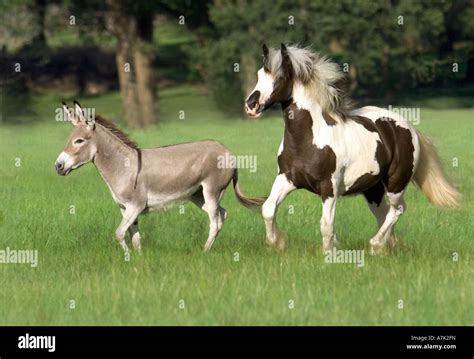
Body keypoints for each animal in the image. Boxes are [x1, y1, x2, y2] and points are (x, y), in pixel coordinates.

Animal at [56, 101, 264, 253]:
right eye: (69, 140)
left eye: (79, 141)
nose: (58, 166)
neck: (122, 166)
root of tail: (226, 150)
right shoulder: (125, 208)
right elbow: (134, 236)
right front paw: (138, 260)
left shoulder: (136, 205)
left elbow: (119, 233)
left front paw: (127, 257)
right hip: (198, 194)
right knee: (222, 214)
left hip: (212, 190)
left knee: (215, 222)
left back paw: (204, 252)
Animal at [246, 43, 462, 255]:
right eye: (259, 74)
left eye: (280, 77)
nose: (251, 105)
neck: (308, 141)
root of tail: (411, 129)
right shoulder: (286, 178)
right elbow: (268, 208)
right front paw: (276, 243)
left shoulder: (329, 188)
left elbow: (326, 225)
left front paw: (329, 253)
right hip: (373, 189)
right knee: (384, 214)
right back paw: (385, 247)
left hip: (396, 184)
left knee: (397, 210)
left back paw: (376, 244)